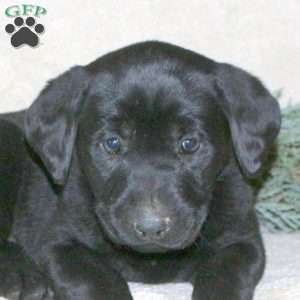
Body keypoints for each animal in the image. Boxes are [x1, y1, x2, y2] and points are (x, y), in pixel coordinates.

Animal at [0, 40, 282, 300]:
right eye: (112, 143)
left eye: (189, 143)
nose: (151, 227)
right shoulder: (59, 243)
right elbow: (98, 279)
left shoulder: (243, 241)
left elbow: (223, 275)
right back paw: (23, 277)